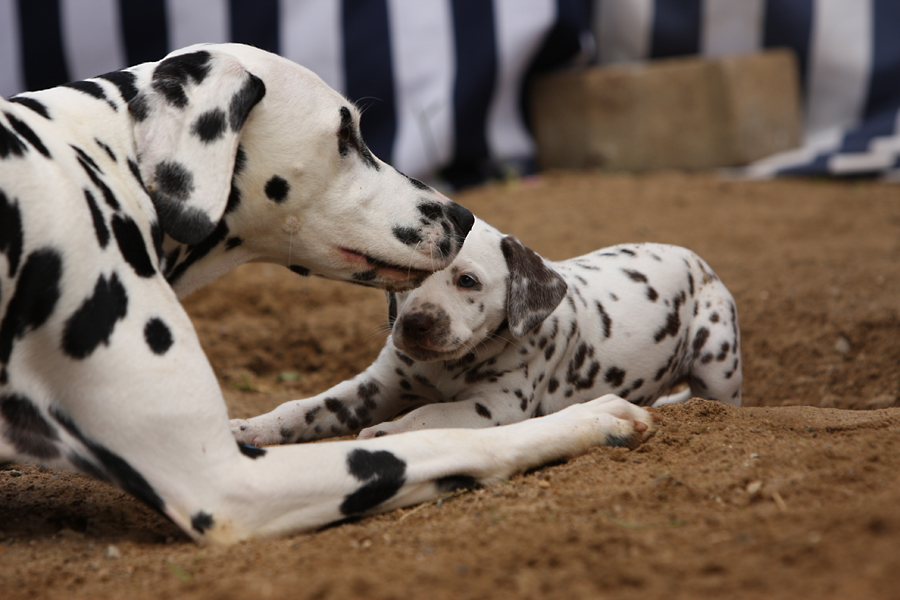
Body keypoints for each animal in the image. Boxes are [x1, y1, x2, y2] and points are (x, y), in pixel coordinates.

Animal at [0, 43, 660, 544]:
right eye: (346, 134)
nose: (463, 216)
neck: (108, 162)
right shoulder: (224, 480)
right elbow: (451, 436)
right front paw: (595, 417)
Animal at [230, 218, 740, 442]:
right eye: (408, 279)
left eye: (468, 281)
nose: (415, 324)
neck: (448, 367)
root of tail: (694, 258)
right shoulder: (375, 386)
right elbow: (304, 408)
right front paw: (250, 427)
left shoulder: (494, 408)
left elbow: (427, 416)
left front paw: (388, 434)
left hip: (717, 360)